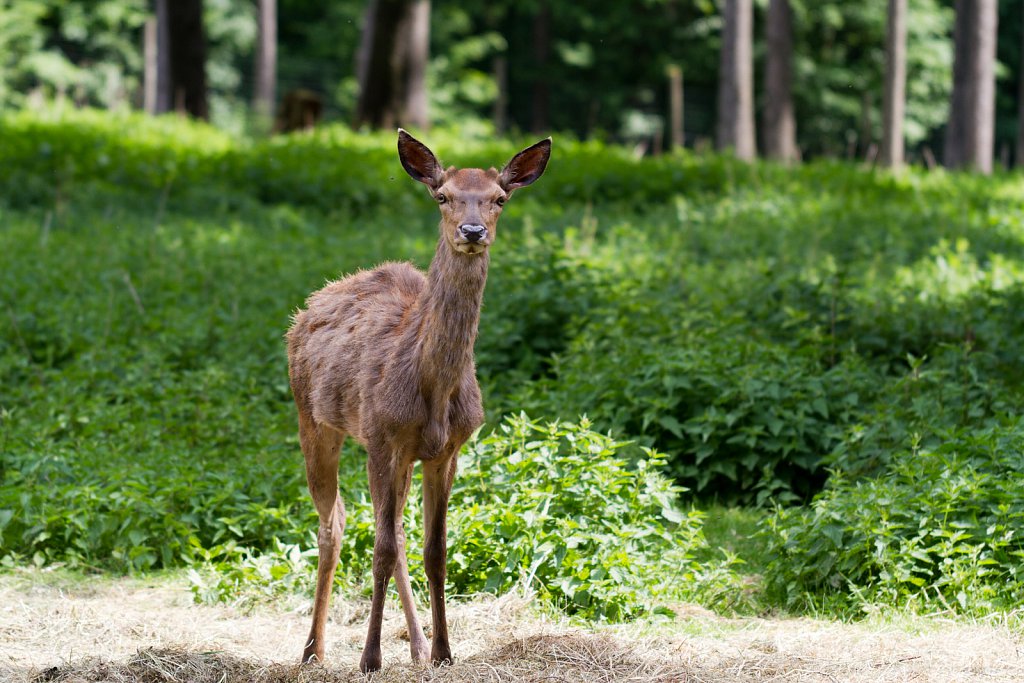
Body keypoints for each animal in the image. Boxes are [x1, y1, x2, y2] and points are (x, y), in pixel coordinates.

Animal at [284, 129, 548, 671]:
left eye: (500, 198)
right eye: (442, 195)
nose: (472, 230)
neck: (433, 390)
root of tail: (309, 306)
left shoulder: (447, 450)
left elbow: (436, 549)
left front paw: (445, 651)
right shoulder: (383, 438)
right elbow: (381, 548)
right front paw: (369, 658)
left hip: (393, 454)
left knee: (395, 530)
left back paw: (418, 644)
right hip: (314, 420)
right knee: (334, 523)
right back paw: (313, 649)